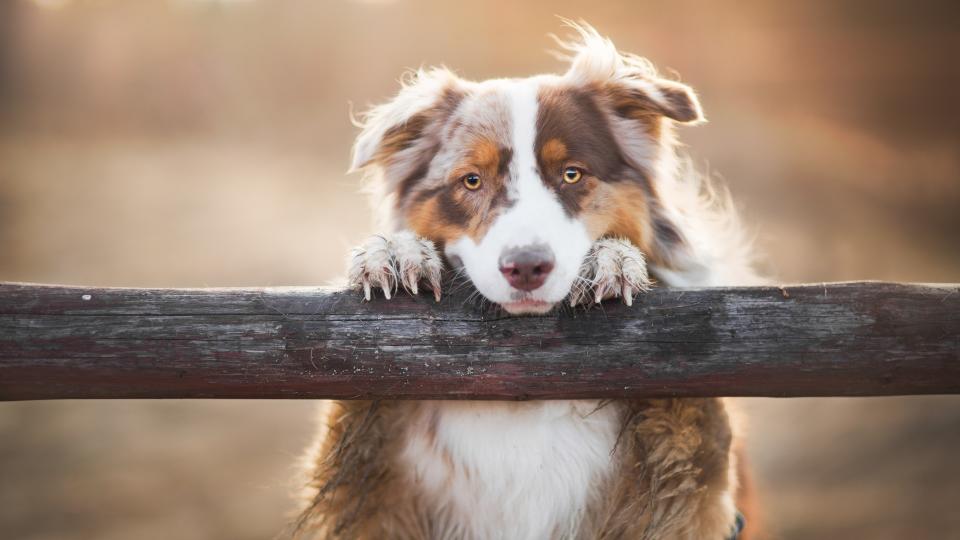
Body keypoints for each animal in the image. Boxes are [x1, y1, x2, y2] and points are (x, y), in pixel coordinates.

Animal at [296, 21, 760, 540]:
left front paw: (611, 259)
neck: (526, 392)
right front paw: (397, 251)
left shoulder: (687, 502)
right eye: (472, 181)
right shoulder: (371, 500)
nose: (526, 267)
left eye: (572, 174)